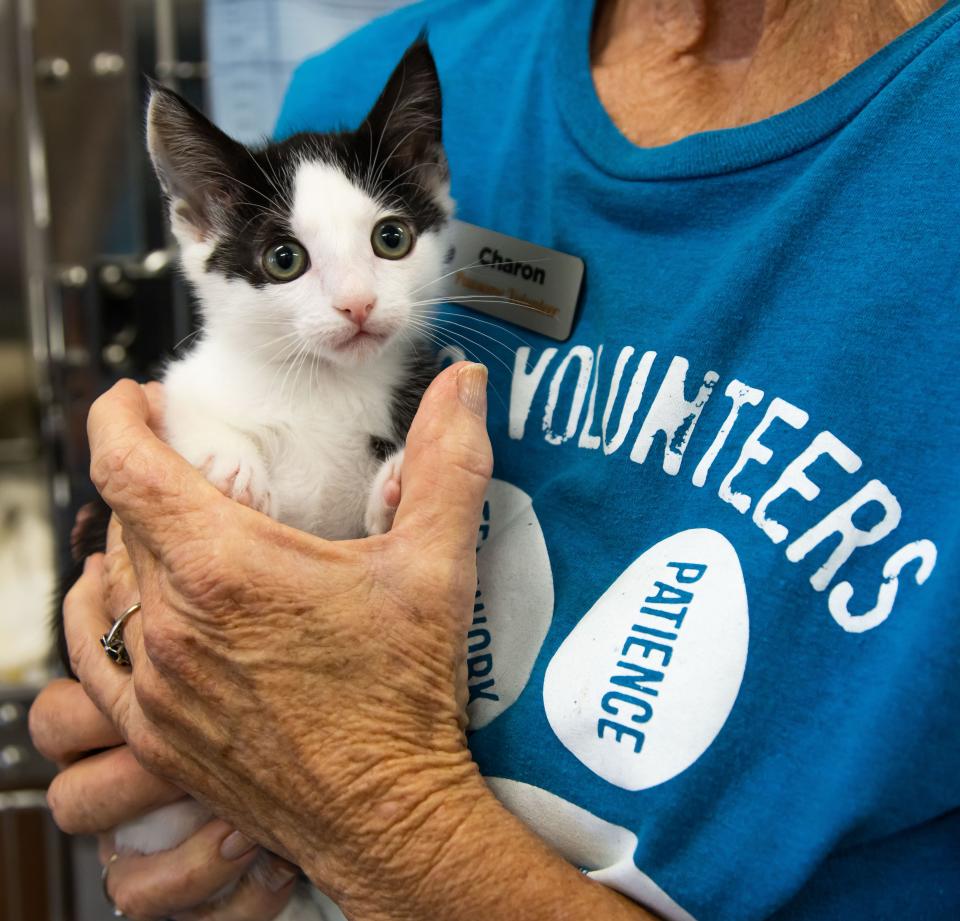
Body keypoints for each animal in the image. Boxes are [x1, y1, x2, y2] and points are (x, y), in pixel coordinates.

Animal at [105, 37, 454, 920]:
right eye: (284, 259)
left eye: (391, 239)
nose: (359, 305)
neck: (321, 384)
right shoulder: (185, 386)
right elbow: (191, 413)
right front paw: (232, 467)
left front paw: (396, 485)